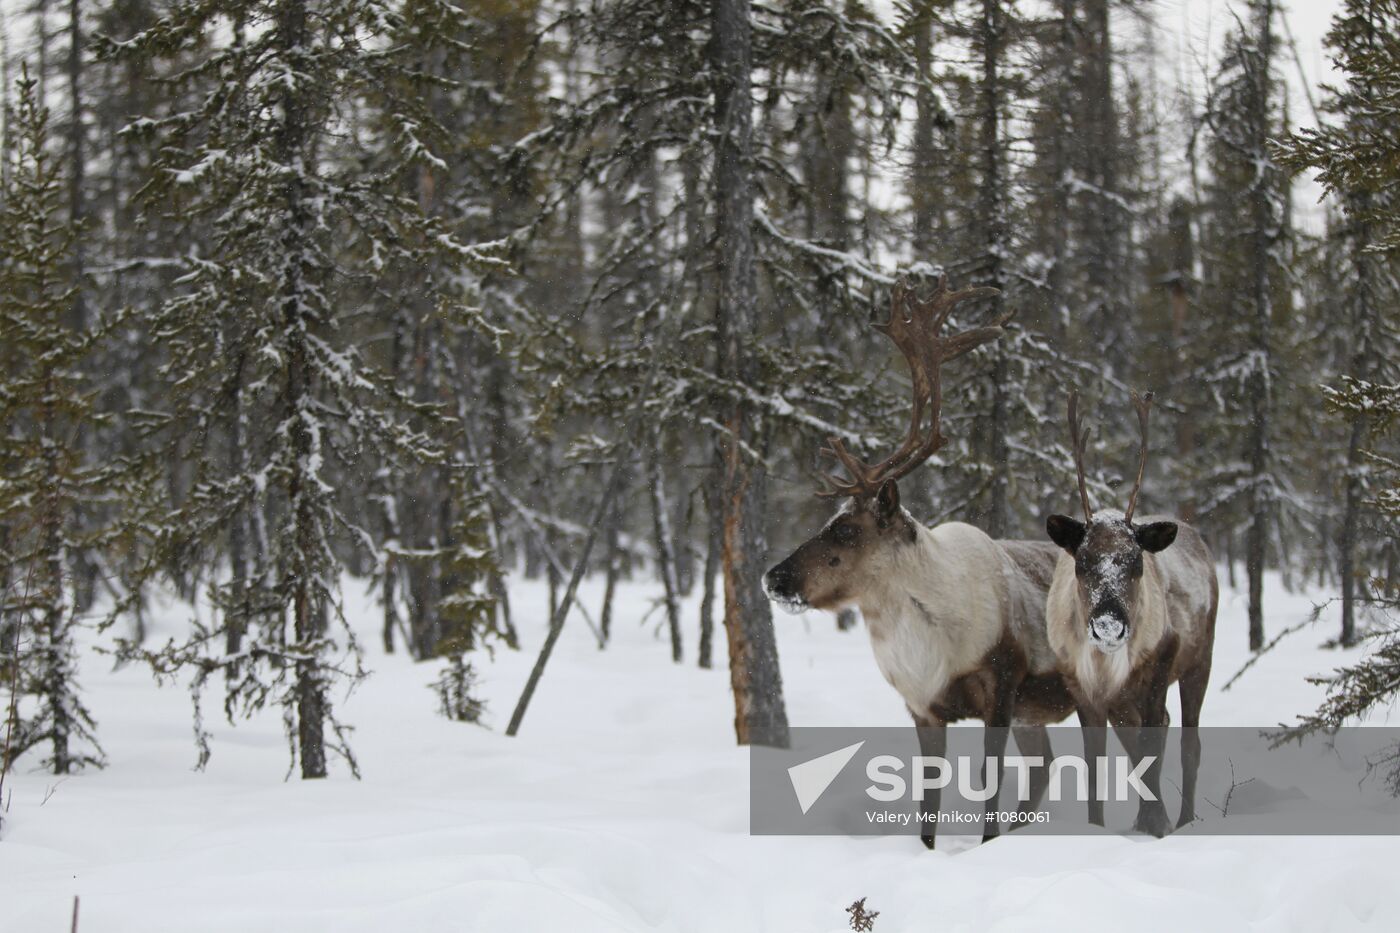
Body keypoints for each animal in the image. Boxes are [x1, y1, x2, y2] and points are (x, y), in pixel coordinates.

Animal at [762, 276, 1076, 849]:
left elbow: (988, 784)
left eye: (845, 528)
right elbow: (927, 798)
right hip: (1035, 714)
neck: (932, 639)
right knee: (1043, 768)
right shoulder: (922, 707)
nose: (774, 577)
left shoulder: (1002, 685)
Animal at [1043, 390, 1218, 836]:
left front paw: (1155, 823)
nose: (1109, 625)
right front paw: (1099, 826)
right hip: (1126, 699)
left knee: (1187, 741)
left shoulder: (1160, 666)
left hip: (1199, 660)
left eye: (1136, 562)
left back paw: (1184, 820)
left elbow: (1152, 748)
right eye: (1082, 562)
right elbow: (1094, 768)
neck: (1104, 666)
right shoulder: (1084, 690)